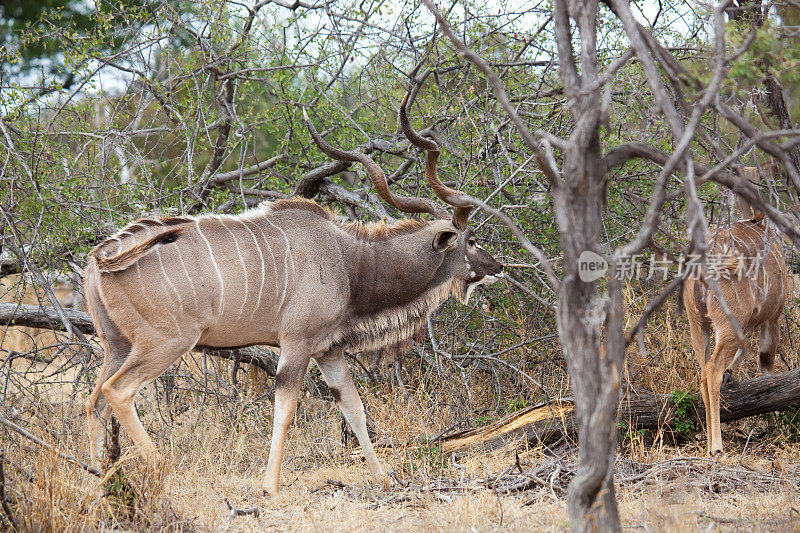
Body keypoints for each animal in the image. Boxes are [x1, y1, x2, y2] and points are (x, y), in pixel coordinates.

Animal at [84, 95, 504, 494]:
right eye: (471, 238)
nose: (497, 267)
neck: (350, 262)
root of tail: (99, 258)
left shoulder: (329, 350)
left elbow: (354, 408)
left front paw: (384, 479)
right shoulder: (297, 344)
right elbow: (285, 411)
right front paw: (270, 487)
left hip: (117, 346)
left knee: (94, 401)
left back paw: (101, 480)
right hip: (166, 343)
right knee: (116, 391)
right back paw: (157, 470)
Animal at [680, 162, 788, 454]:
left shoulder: (748, 321)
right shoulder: (771, 317)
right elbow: (766, 365)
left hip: (698, 325)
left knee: (701, 372)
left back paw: (708, 441)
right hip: (727, 322)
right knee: (712, 370)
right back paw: (716, 446)